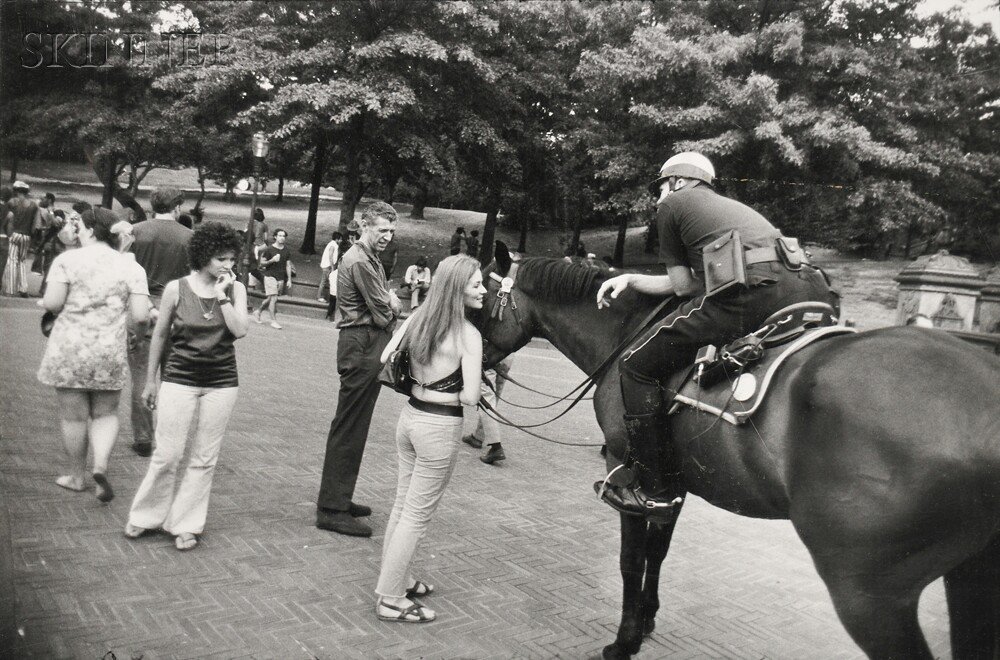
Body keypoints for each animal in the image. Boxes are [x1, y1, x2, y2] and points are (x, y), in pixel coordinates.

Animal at [480, 248, 996, 660]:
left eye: (479, 304)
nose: (477, 370)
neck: (628, 334)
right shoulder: (670, 484)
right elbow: (657, 552)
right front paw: (646, 621)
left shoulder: (627, 471)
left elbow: (631, 559)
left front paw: (624, 640)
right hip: (965, 578)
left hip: (868, 593)